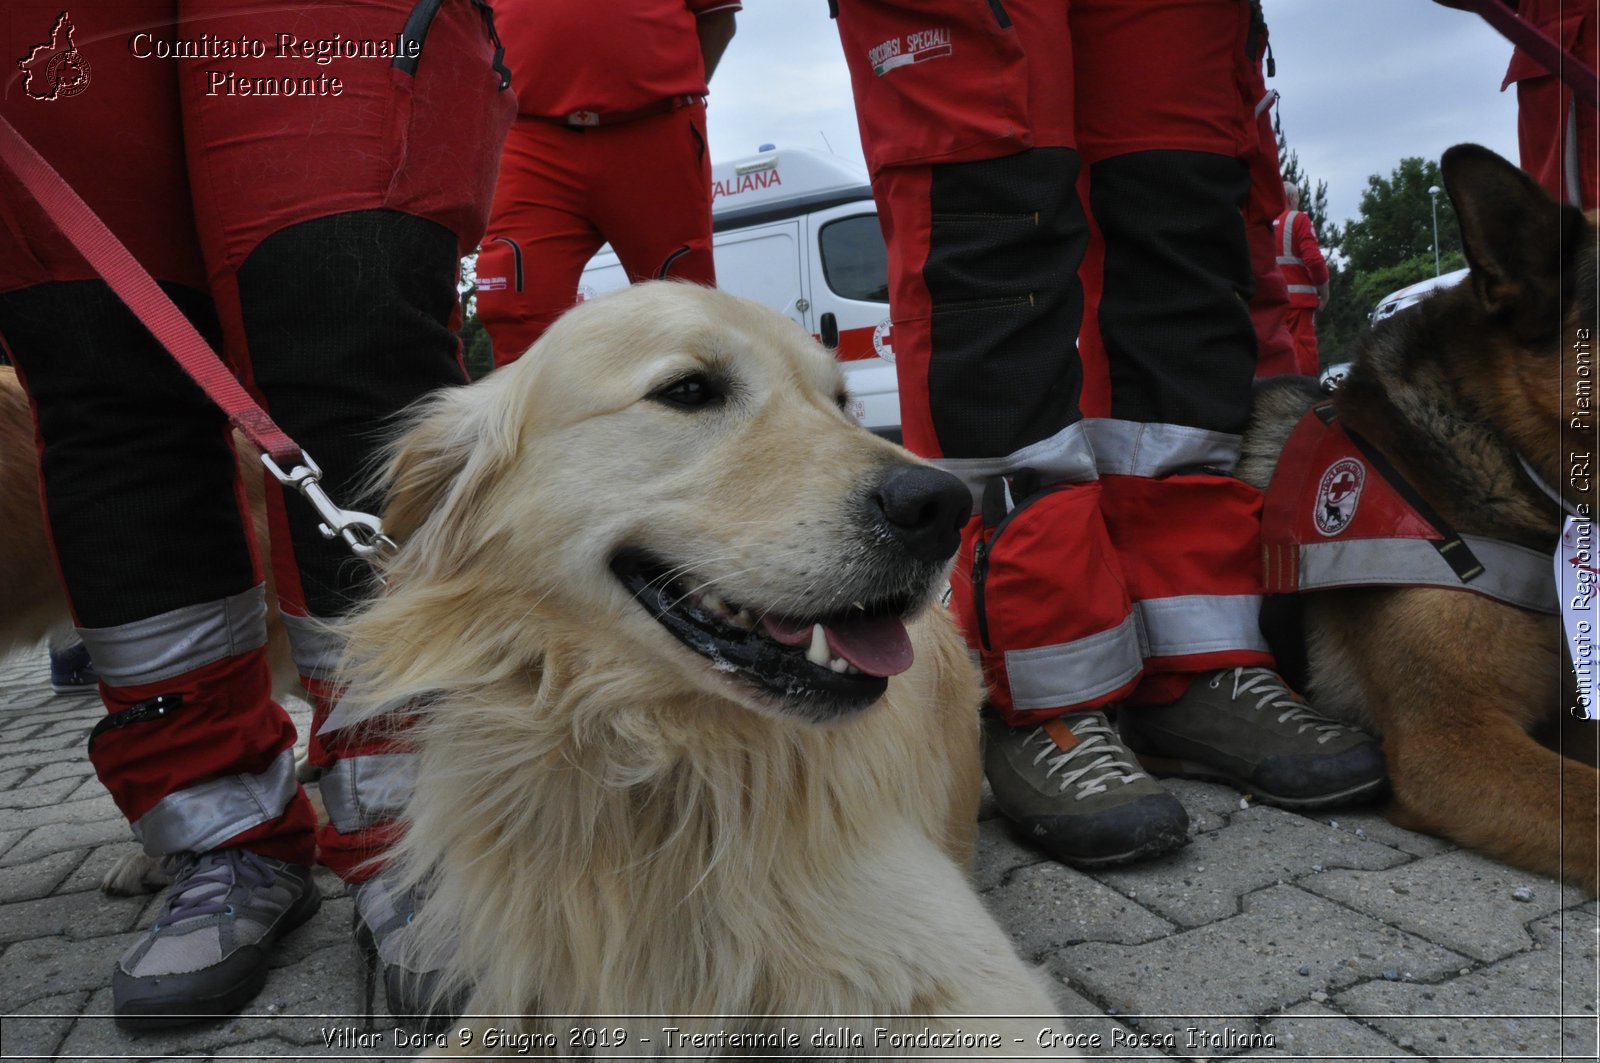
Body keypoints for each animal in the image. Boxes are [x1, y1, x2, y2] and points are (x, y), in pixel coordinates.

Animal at [336, 281, 1062, 1056]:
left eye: (841, 402)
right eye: (687, 390)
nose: (942, 506)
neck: (654, 760)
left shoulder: (964, 977)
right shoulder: (527, 983)